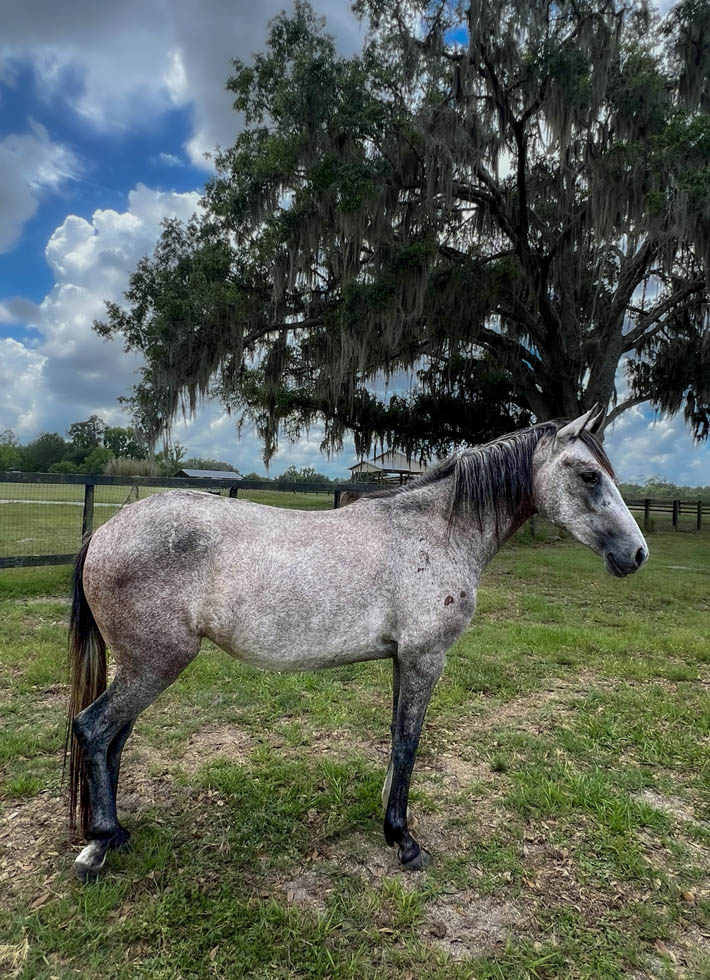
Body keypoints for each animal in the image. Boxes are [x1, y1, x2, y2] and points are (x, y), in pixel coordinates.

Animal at [66, 407, 648, 882]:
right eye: (590, 475)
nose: (637, 554)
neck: (435, 532)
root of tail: (105, 532)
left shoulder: (403, 661)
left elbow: (396, 740)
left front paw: (390, 819)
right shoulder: (425, 660)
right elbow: (409, 743)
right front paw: (405, 841)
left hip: (142, 669)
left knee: (114, 738)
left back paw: (110, 838)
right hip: (155, 665)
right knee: (93, 730)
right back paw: (99, 843)